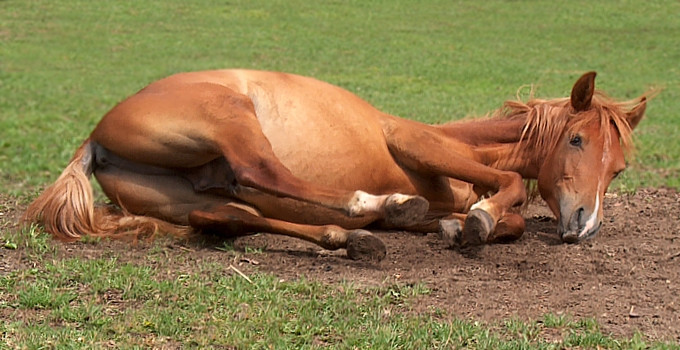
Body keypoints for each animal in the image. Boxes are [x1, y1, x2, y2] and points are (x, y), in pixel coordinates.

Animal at [22, 69, 648, 260]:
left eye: (617, 169)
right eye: (576, 140)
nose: (583, 224)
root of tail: (95, 139)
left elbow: (498, 211)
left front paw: (455, 225)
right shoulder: (412, 141)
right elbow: (510, 185)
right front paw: (476, 221)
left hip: (181, 197)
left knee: (231, 216)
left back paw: (350, 238)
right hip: (230, 117)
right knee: (260, 174)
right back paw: (372, 207)